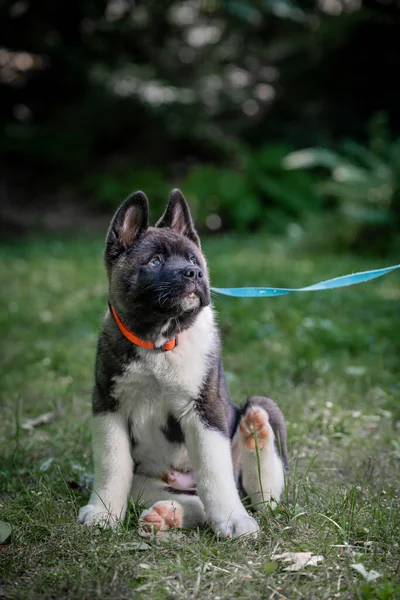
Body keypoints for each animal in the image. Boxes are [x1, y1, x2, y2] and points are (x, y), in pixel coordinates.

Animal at [78, 189, 288, 540]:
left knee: (261, 496)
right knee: (197, 504)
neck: (159, 341)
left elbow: (214, 472)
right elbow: (111, 464)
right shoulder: (108, 406)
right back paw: (166, 515)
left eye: (192, 260)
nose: (194, 274)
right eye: (155, 261)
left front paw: (233, 519)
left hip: (265, 409)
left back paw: (255, 433)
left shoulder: (204, 409)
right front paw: (102, 512)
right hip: (146, 483)